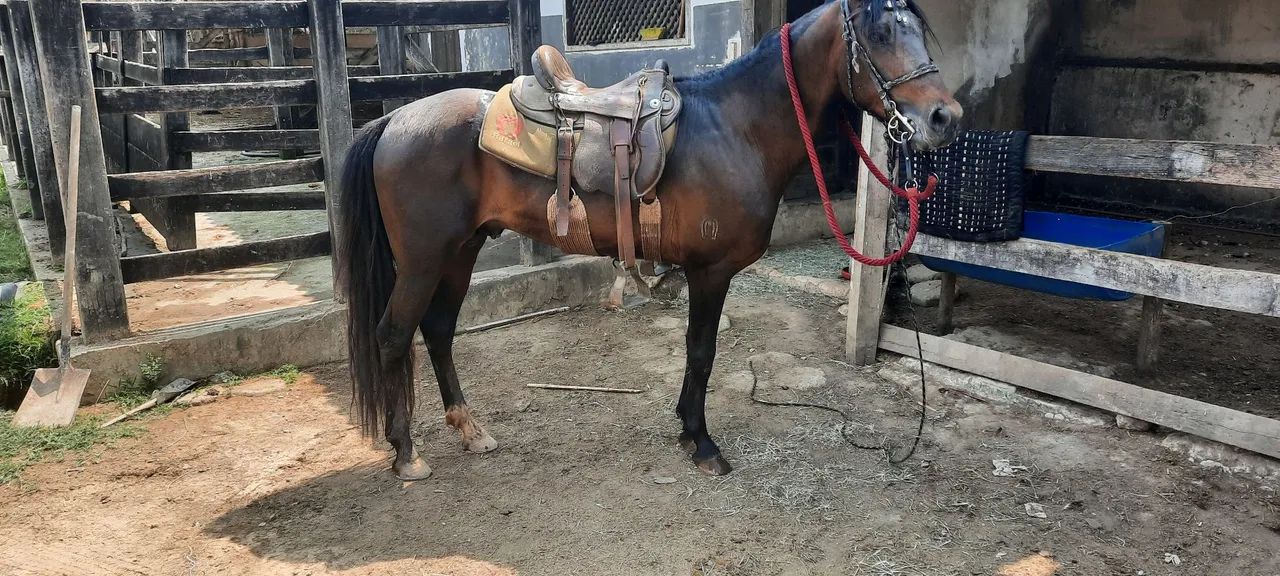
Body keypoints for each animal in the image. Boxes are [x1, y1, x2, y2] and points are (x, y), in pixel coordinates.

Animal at [338, 0, 962, 480]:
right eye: (880, 33)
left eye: (917, 28)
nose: (944, 117)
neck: (737, 127)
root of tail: (393, 122)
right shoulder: (711, 272)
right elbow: (702, 352)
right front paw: (703, 443)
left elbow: (696, 353)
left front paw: (687, 431)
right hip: (424, 260)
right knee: (393, 336)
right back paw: (406, 454)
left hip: (461, 252)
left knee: (438, 331)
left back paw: (471, 430)